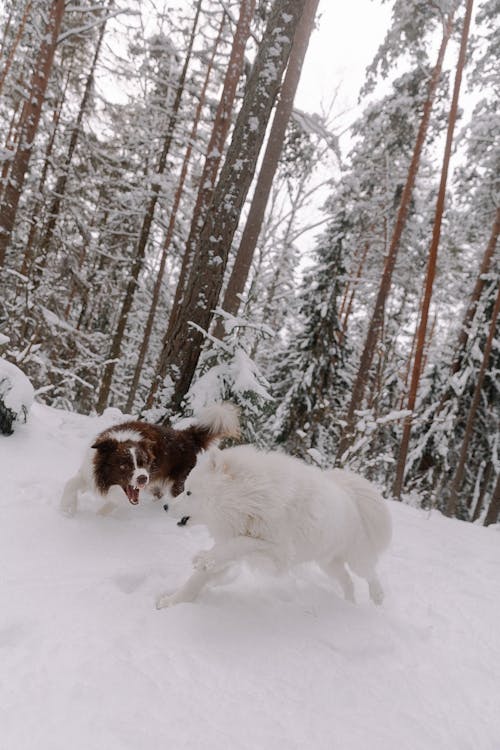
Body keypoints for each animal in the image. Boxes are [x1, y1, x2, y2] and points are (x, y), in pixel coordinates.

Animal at [60, 406, 240, 516]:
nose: (143, 478)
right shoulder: (89, 472)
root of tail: (186, 437)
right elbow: (70, 484)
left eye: (144, 462)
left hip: (177, 481)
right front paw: (67, 509)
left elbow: (113, 504)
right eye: (124, 466)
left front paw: (99, 517)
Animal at [158, 446, 392, 612]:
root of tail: (349, 493)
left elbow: (240, 543)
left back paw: (378, 596)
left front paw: (204, 558)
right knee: (348, 581)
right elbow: (197, 579)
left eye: (188, 492)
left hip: (355, 557)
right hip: (328, 563)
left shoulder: (278, 552)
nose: (165, 506)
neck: (249, 499)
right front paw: (170, 602)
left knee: (369, 572)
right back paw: (350, 603)